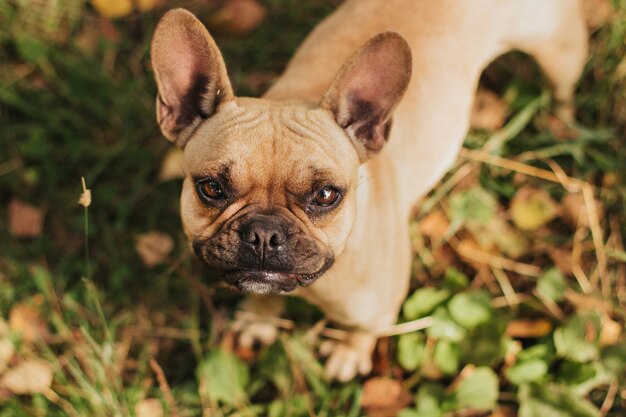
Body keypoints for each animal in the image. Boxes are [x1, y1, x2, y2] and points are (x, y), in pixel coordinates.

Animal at [151, 0, 584, 380]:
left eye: (326, 195)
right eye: (211, 188)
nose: (264, 234)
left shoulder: (379, 307)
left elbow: (363, 331)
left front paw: (348, 353)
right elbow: (263, 295)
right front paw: (259, 317)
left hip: (559, 51)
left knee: (563, 88)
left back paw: (561, 126)